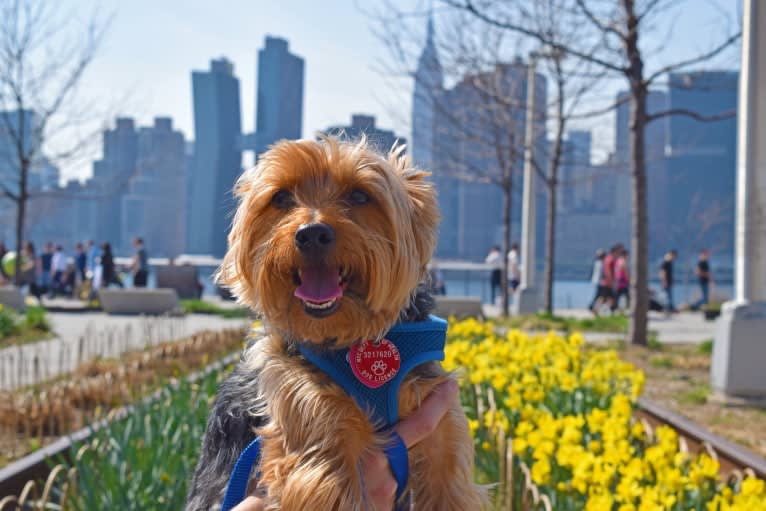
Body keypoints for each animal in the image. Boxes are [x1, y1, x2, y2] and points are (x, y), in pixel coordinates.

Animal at [186, 137, 486, 511]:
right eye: (281, 198)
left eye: (359, 195)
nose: (312, 233)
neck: (351, 335)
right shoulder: (285, 378)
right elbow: (313, 406)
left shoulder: (440, 427)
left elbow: (450, 485)